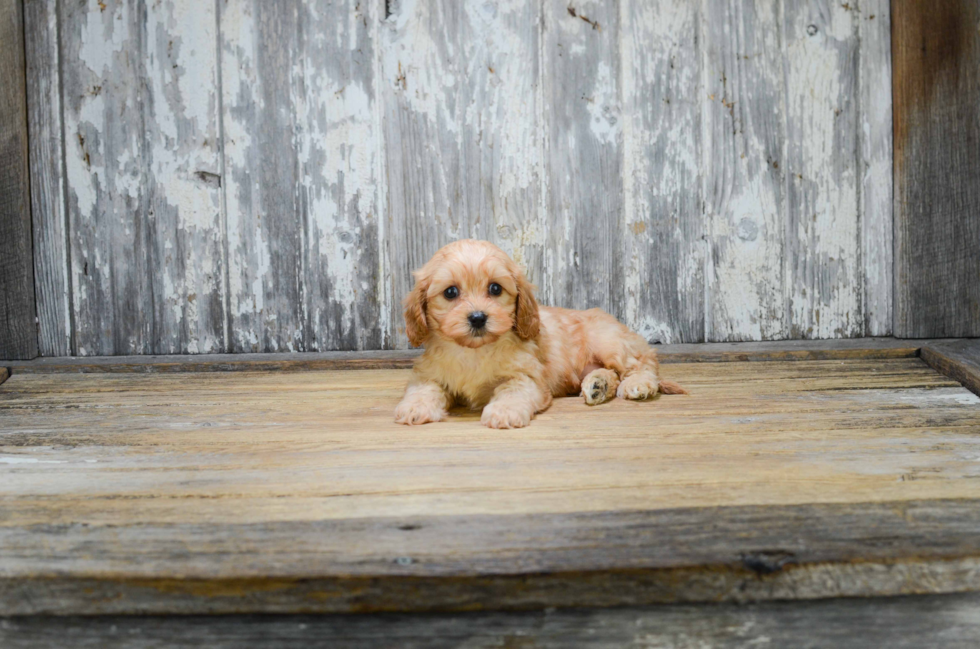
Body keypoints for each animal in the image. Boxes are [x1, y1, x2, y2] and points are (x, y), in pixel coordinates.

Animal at [394, 240, 684, 428]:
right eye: (451, 292)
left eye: (495, 289)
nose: (477, 317)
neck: (474, 351)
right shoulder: (429, 373)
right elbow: (424, 388)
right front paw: (415, 407)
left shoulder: (527, 377)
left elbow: (512, 390)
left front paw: (504, 412)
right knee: (612, 373)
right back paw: (598, 386)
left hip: (610, 341)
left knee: (642, 364)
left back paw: (638, 384)